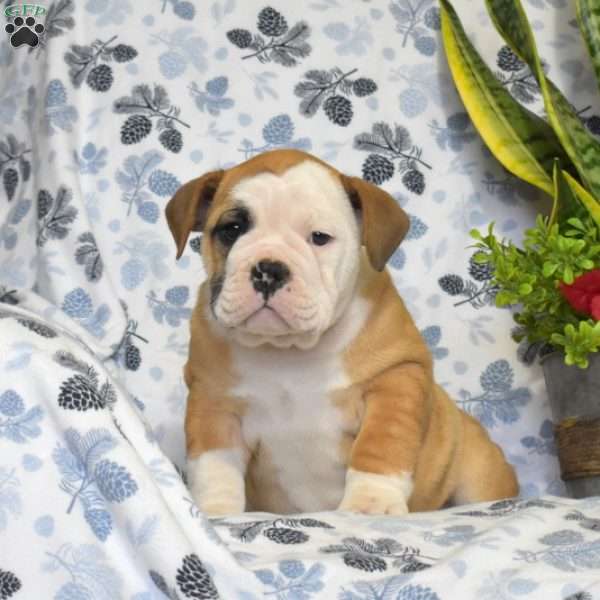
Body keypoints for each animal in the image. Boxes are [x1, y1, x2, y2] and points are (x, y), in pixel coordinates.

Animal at [166, 149, 516, 516]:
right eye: (231, 229)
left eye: (320, 237)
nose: (269, 269)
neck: (288, 351)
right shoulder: (213, 403)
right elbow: (215, 465)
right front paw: (215, 510)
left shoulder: (396, 380)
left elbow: (380, 446)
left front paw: (371, 504)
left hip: (478, 471)